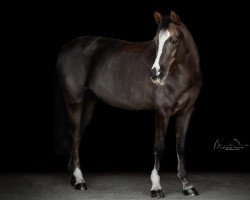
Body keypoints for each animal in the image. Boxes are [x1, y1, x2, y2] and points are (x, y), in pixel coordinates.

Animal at [55, 10, 202, 198]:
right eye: (156, 41)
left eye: (174, 40)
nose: (155, 73)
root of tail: (66, 47)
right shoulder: (162, 112)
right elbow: (159, 147)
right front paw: (156, 187)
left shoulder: (187, 111)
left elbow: (181, 147)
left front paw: (186, 185)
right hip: (74, 103)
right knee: (74, 137)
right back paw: (80, 180)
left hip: (87, 106)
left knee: (77, 137)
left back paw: (74, 177)